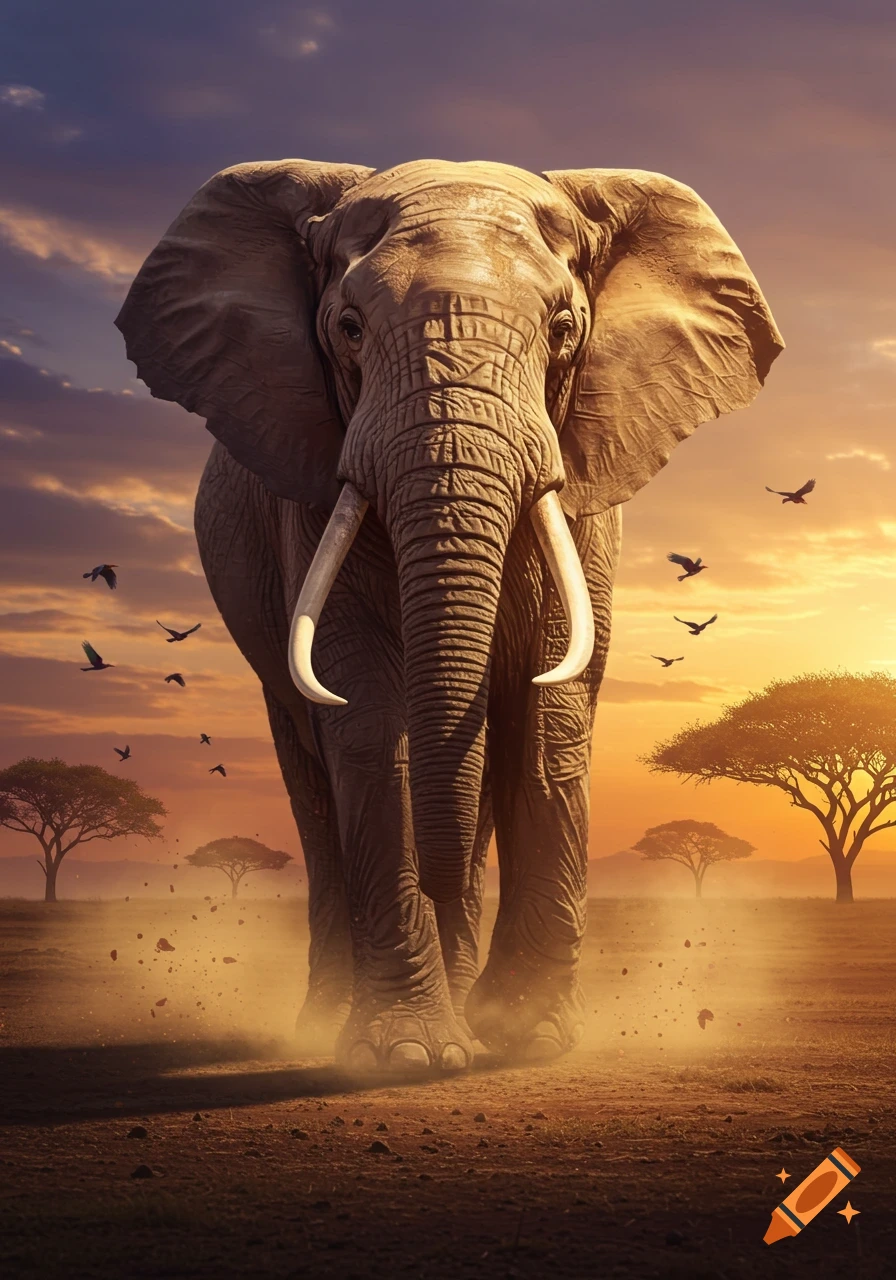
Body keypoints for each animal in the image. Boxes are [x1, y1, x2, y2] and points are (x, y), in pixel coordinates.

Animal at [115, 158, 782, 1075]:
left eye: (564, 329)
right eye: (349, 328)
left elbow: (547, 713)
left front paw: (526, 1037)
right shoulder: (312, 485)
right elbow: (368, 718)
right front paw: (408, 1054)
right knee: (312, 781)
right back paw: (335, 1019)